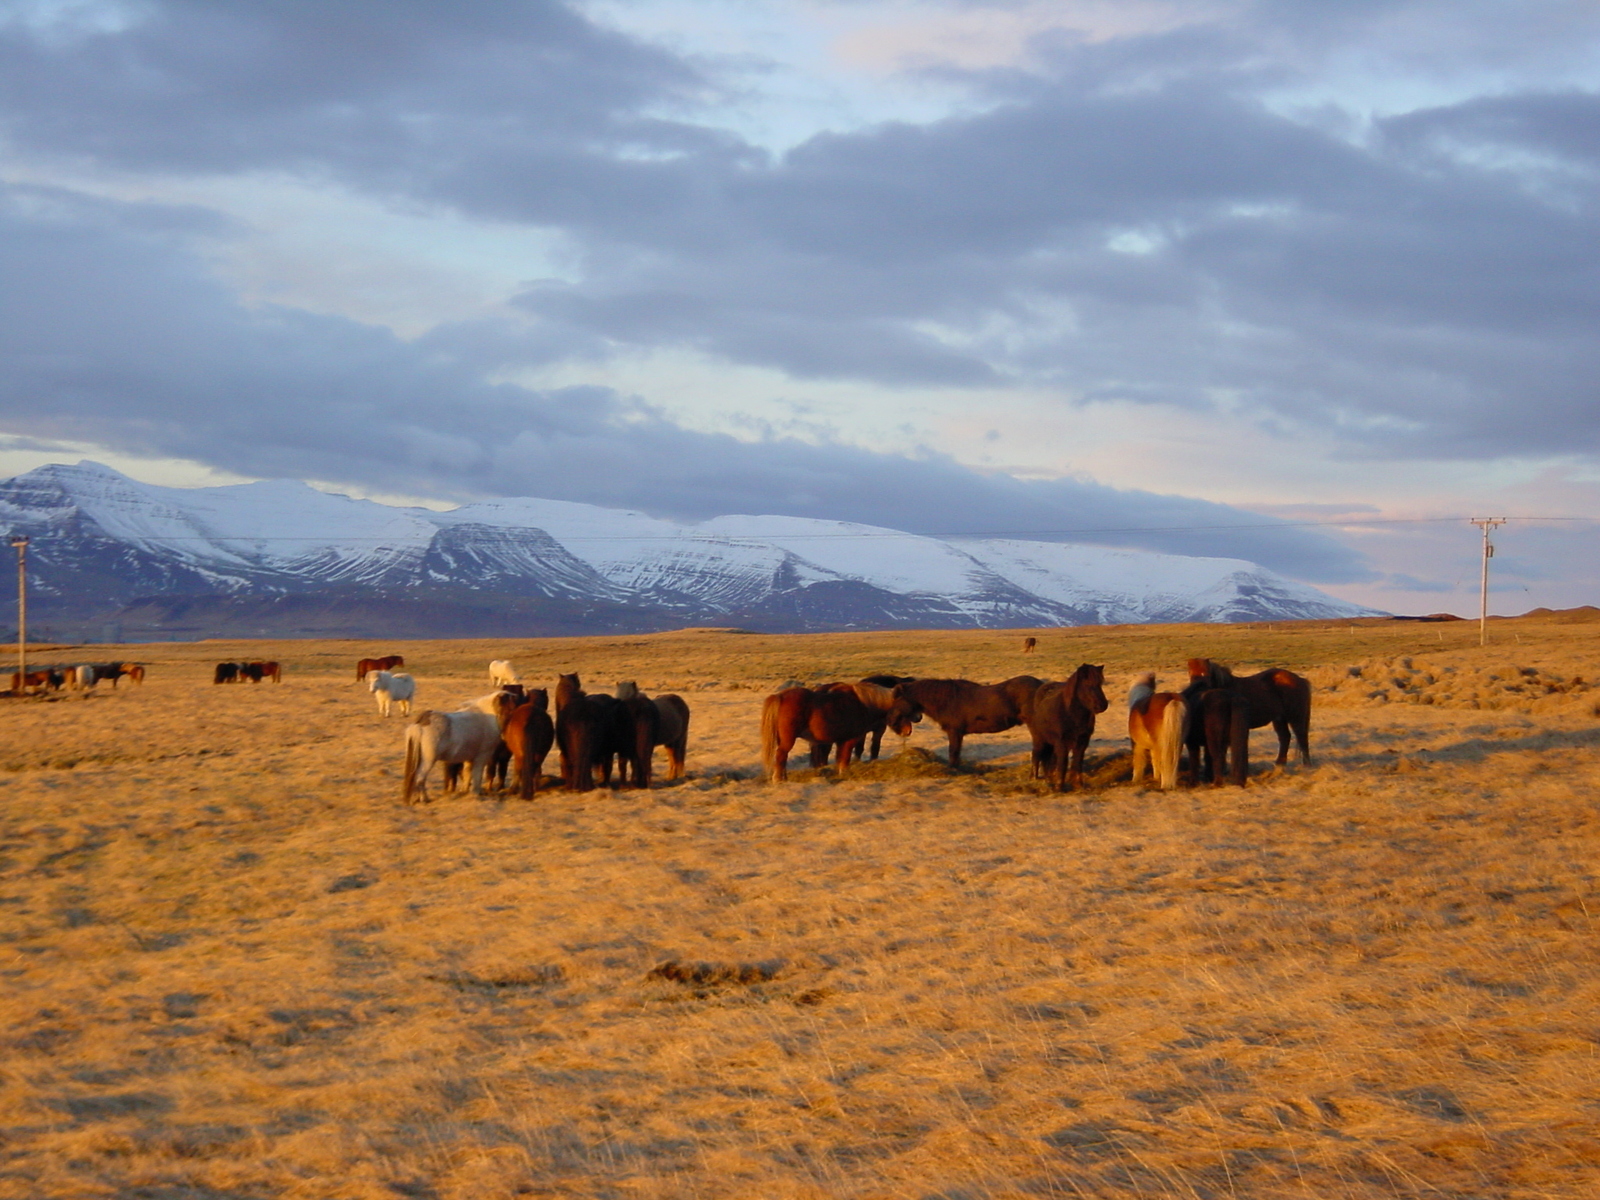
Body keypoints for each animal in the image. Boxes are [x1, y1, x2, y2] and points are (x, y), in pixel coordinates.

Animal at [883, 678, 1043, 771]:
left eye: (896, 701)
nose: (891, 723)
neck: (947, 700)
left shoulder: (954, 732)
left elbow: (953, 752)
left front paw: (953, 770)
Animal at [1024, 662, 1113, 793]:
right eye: (1087, 684)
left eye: (1100, 683)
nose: (1102, 705)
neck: (1070, 714)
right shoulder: (1062, 743)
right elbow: (1063, 763)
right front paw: (1059, 787)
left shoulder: (1082, 742)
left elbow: (1077, 763)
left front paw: (1078, 785)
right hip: (1039, 739)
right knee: (1036, 755)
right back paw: (1034, 779)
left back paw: (1049, 779)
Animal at [1190, 659, 1312, 790]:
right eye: (1191, 673)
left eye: (1205, 673)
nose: (1196, 690)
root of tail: (1300, 680)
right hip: (1279, 719)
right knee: (1285, 737)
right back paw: (1279, 767)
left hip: (1295, 717)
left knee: (1302, 738)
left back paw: (1306, 766)